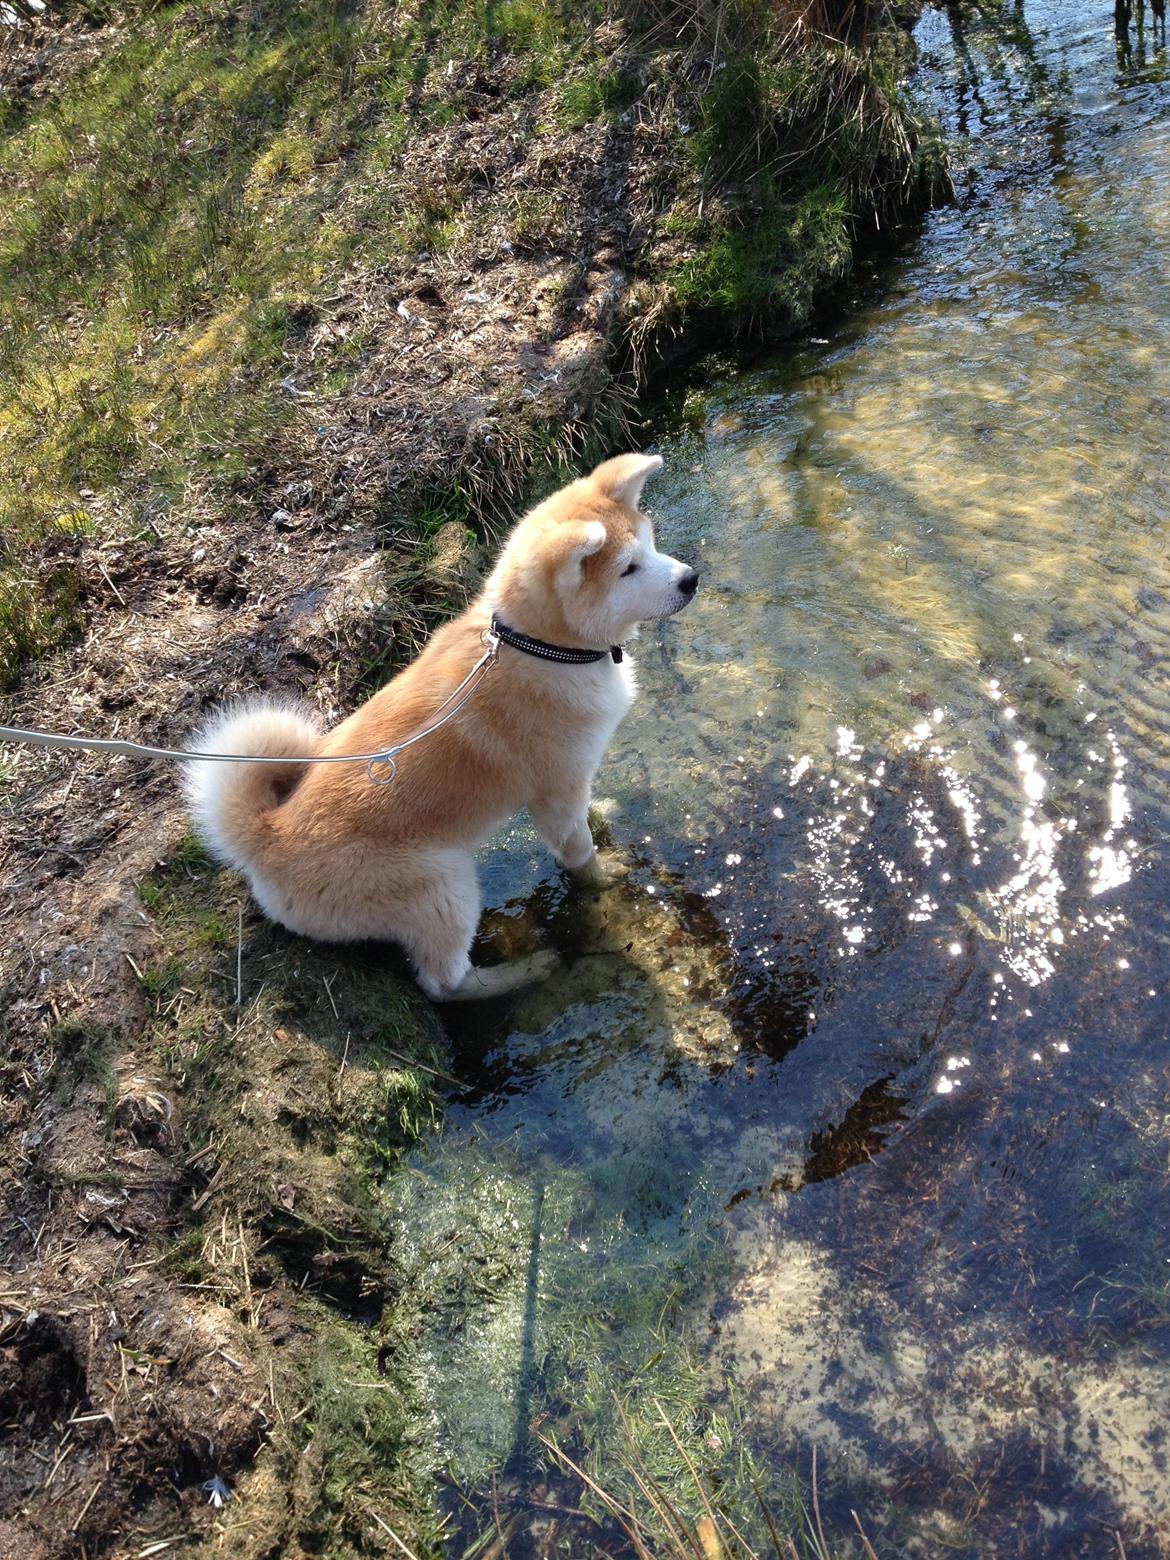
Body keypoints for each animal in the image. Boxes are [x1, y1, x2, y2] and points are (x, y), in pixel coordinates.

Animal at [183, 452, 695, 998]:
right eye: (628, 570)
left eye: (650, 541)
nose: (691, 578)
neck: (541, 647)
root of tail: (267, 838)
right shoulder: (555, 791)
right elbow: (578, 854)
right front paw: (602, 877)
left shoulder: (572, 782)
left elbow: (587, 815)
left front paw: (602, 812)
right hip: (442, 886)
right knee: (444, 982)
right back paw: (524, 972)